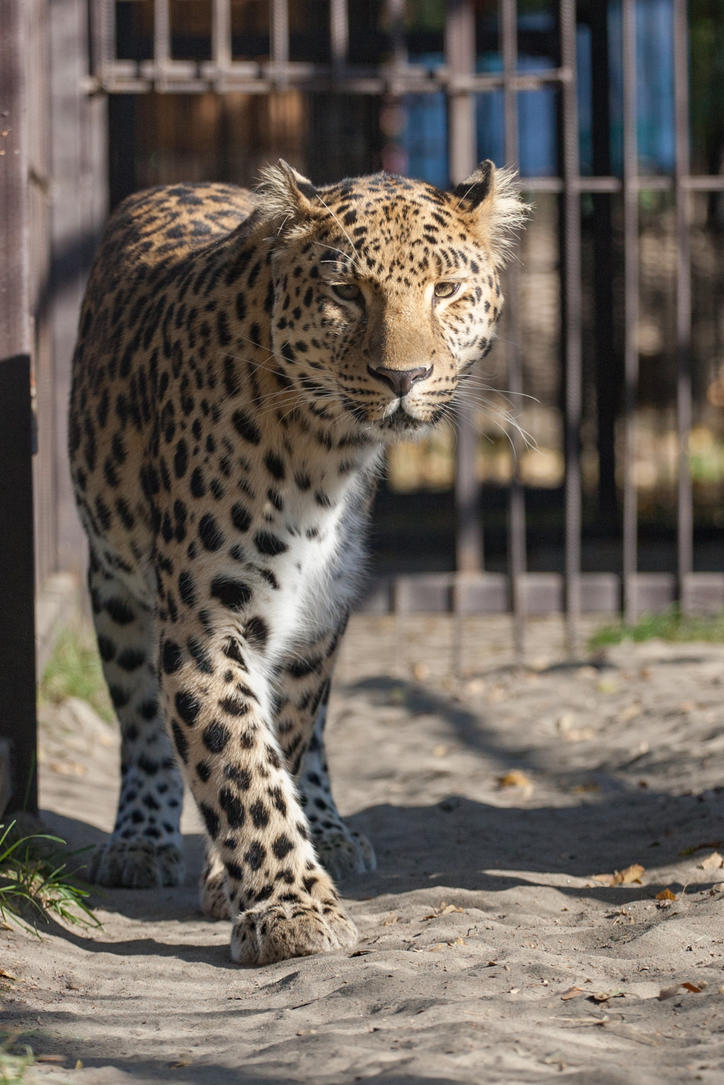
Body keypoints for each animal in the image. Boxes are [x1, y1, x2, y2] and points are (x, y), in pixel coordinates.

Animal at [68, 159, 527, 965]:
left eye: (445, 289)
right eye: (346, 293)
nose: (403, 377)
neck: (331, 454)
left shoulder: (313, 617)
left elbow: (274, 745)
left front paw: (259, 883)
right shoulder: (207, 621)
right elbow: (240, 763)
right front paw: (290, 909)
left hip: (321, 619)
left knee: (306, 731)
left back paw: (329, 831)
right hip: (116, 587)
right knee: (143, 725)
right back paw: (139, 842)